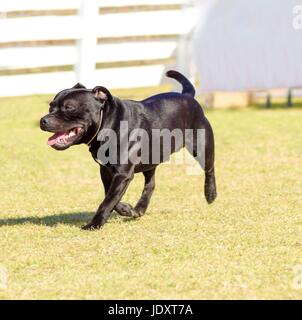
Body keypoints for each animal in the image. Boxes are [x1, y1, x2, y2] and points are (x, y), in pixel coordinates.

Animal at [40, 70, 216, 230]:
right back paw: (139, 209)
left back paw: (211, 194)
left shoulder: (122, 174)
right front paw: (126, 209)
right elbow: (110, 197)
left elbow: (107, 201)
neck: (108, 123)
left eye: (69, 107)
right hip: (151, 159)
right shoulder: (106, 171)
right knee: (151, 184)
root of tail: (188, 96)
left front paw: (94, 224)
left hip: (202, 146)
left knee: (209, 169)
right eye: (50, 107)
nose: (43, 120)